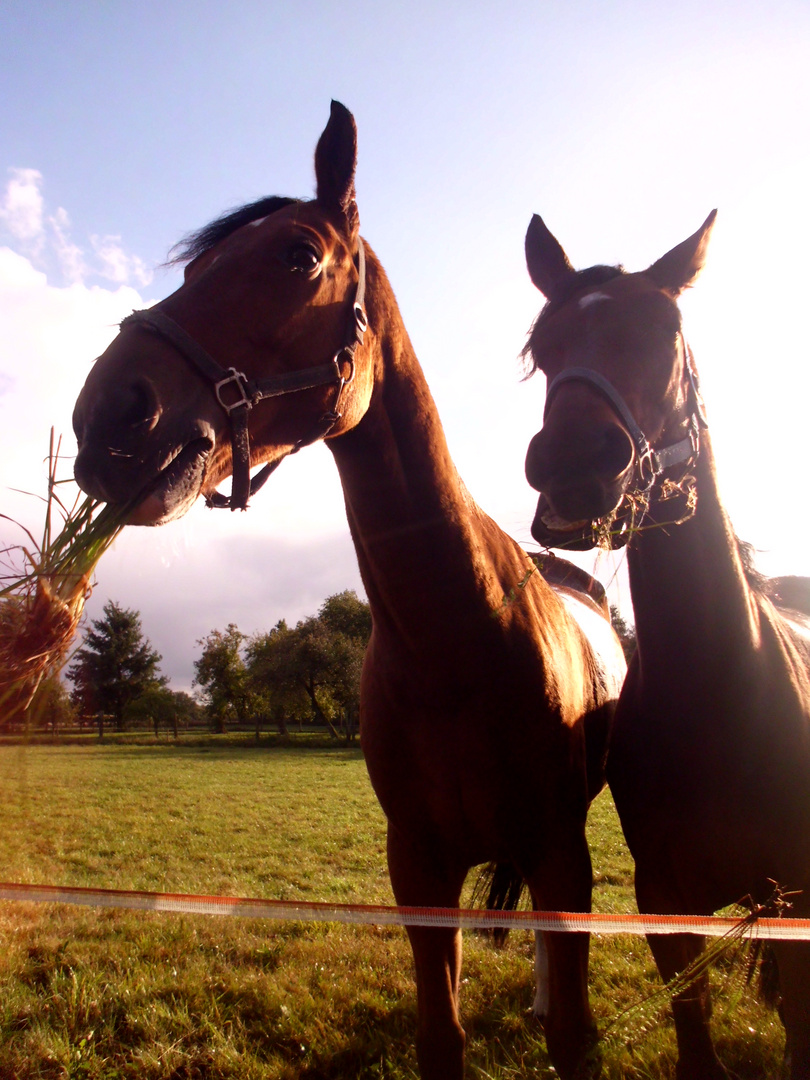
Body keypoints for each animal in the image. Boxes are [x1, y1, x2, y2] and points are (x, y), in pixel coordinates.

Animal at [71, 103, 626, 1080]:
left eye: (297, 254)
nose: (107, 416)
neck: (459, 642)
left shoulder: (563, 852)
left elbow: (573, 1034)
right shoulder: (419, 870)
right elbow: (441, 1035)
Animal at [520, 212, 810, 1080]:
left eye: (667, 331)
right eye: (543, 346)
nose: (575, 463)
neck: (721, 690)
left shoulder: (799, 897)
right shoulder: (664, 898)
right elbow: (695, 1027)